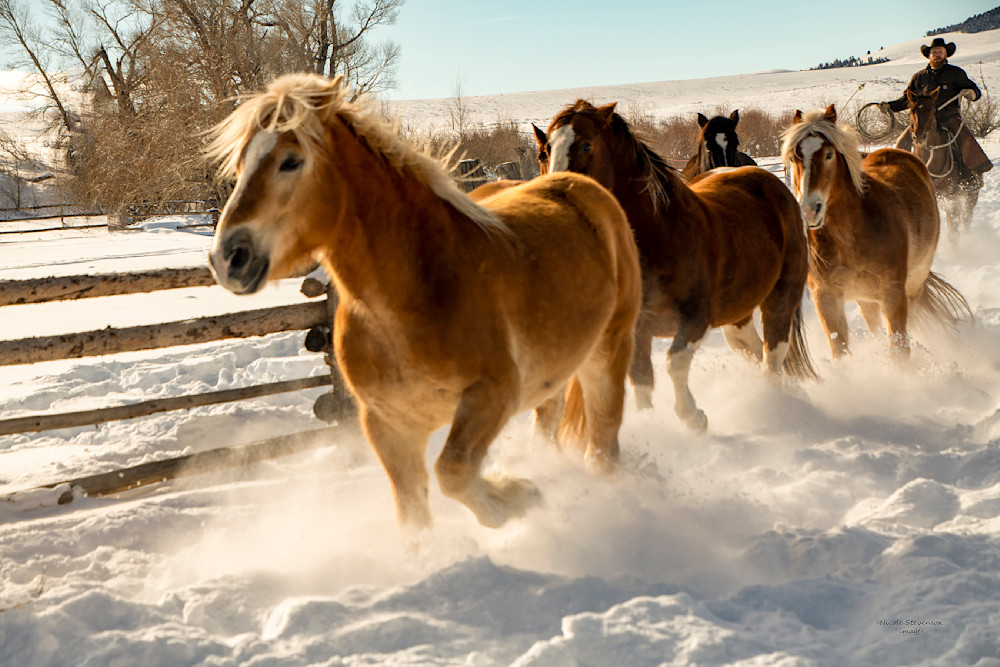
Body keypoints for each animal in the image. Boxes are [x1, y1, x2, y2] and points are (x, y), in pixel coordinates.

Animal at [206, 74, 642, 533]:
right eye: (240, 165)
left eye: (290, 161)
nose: (228, 258)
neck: (411, 297)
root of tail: (587, 190)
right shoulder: (387, 425)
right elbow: (414, 517)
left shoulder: (491, 397)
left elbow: (453, 472)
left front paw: (519, 495)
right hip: (555, 372)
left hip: (608, 351)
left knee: (604, 443)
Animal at [535, 100, 815, 433]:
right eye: (543, 152)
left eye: (587, 145)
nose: (553, 198)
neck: (661, 233)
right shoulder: (636, 331)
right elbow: (641, 382)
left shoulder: (696, 319)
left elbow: (674, 363)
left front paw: (694, 417)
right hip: (738, 312)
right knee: (751, 348)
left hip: (781, 296)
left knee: (772, 355)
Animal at [781, 104, 971, 359]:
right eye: (793, 158)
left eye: (829, 155)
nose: (810, 210)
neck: (851, 237)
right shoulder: (826, 299)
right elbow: (840, 351)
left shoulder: (893, 295)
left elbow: (900, 352)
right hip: (865, 297)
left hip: (913, 284)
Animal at [906, 87, 981, 245]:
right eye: (911, 111)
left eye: (931, 111)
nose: (919, 137)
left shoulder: (951, 198)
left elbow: (953, 233)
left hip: (970, 195)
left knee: (965, 220)